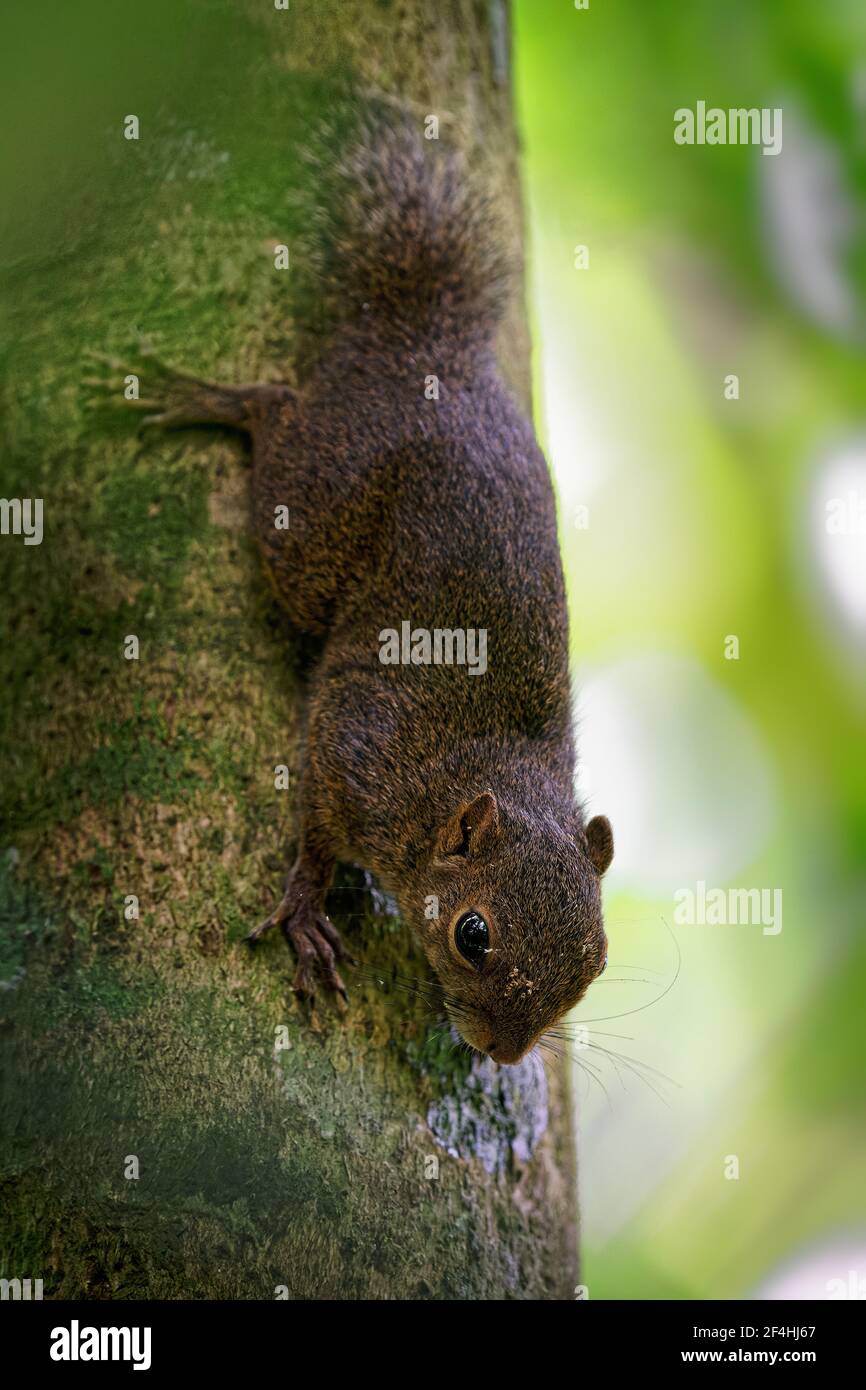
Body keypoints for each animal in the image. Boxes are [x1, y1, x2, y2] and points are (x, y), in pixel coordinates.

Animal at [96, 119, 617, 1061]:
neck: (467, 775)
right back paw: (210, 398)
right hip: (312, 513)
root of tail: (423, 345)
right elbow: (314, 824)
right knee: (274, 412)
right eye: (472, 934)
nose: (502, 1053)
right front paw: (306, 909)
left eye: (594, 961)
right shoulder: (360, 755)